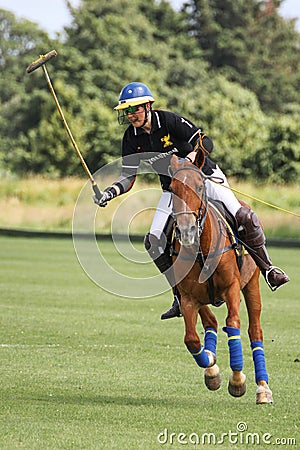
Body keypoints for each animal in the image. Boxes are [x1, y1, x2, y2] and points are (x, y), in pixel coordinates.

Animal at [170, 155, 274, 404]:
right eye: (172, 188)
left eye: (200, 186)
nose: (186, 231)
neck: (202, 250)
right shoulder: (188, 297)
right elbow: (191, 339)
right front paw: (212, 369)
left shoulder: (232, 288)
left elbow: (233, 324)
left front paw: (237, 381)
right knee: (210, 322)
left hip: (252, 283)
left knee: (255, 330)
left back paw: (263, 389)